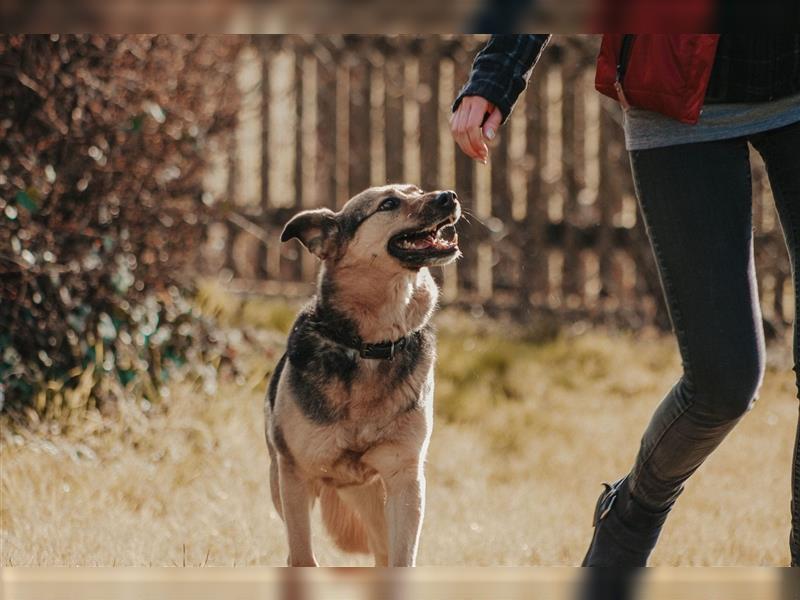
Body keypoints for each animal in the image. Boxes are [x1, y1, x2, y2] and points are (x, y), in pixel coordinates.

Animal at [266, 184, 460, 568]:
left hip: (372, 495)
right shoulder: (294, 476)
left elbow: (401, 558)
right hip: (283, 484)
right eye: (389, 203)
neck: (370, 345)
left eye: (417, 190)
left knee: (382, 550)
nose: (449, 195)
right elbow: (302, 556)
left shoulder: (405, 480)